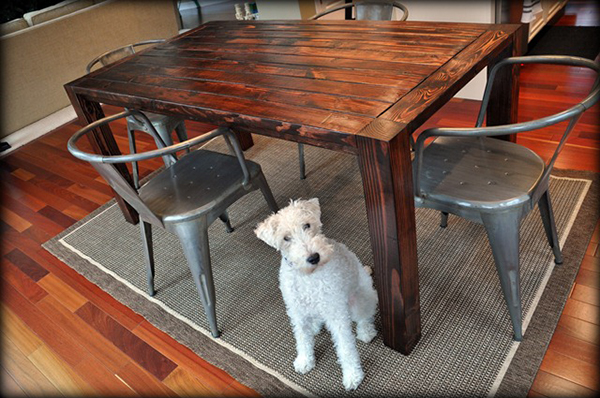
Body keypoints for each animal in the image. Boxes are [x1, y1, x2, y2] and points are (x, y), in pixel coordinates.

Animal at [254, 197, 378, 390]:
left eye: (307, 225)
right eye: (286, 238)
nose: (313, 257)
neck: (309, 277)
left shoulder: (336, 314)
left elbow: (346, 347)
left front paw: (352, 375)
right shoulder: (296, 312)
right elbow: (302, 338)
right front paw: (305, 361)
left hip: (361, 299)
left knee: (365, 317)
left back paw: (366, 332)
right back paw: (314, 326)